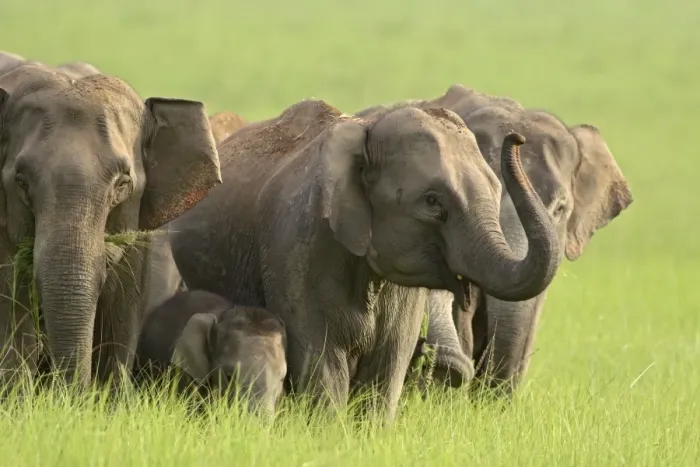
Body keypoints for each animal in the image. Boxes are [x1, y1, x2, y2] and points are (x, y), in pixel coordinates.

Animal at [165, 98, 563, 421]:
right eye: (432, 202)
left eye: (495, 190)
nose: (517, 138)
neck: (365, 132)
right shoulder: (298, 247)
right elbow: (324, 363)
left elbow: (389, 367)